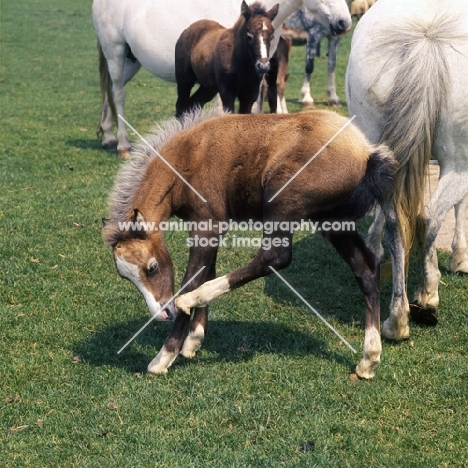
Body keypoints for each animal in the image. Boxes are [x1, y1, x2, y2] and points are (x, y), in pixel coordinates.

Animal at [93, 0, 350, 158]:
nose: (344, 22)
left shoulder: (257, 76)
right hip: (115, 52)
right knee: (118, 94)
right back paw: (123, 145)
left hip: (130, 60)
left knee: (109, 93)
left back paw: (108, 137)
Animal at [102, 109, 394, 380]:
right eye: (125, 277)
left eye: (151, 268)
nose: (163, 314)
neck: (188, 157)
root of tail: (366, 153)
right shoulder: (214, 228)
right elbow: (207, 269)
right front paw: (194, 340)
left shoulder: (206, 225)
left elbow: (192, 278)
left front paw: (164, 357)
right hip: (332, 221)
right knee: (366, 267)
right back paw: (369, 358)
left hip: (282, 204)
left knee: (275, 258)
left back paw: (189, 299)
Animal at [346, 0, 466, 344]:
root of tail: (426, 36)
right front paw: (460, 256)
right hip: (458, 161)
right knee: (432, 218)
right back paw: (427, 296)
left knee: (396, 222)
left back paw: (396, 320)